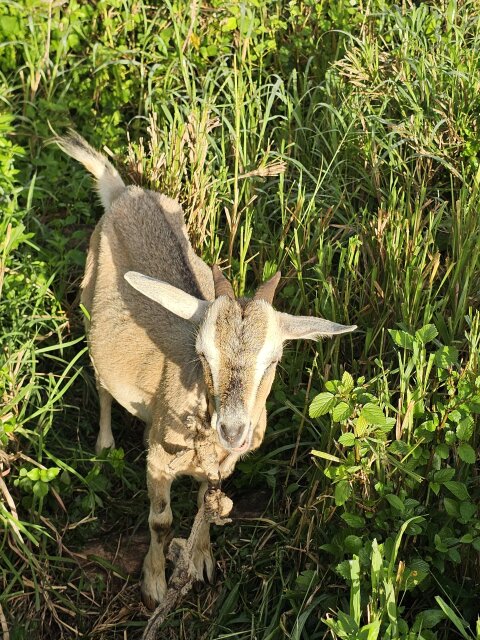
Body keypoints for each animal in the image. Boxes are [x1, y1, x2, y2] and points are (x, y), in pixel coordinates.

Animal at [57, 132, 356, 608]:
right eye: (202, 355)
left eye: (274, 359)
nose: (232, 430)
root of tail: (122, 191)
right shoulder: (159, 465)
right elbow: (160, 521)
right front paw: (156, 585)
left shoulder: (222, 467)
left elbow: (204, 504)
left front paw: (200, 561)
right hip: (89, 309)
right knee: (102, 385)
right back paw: (105, 444)